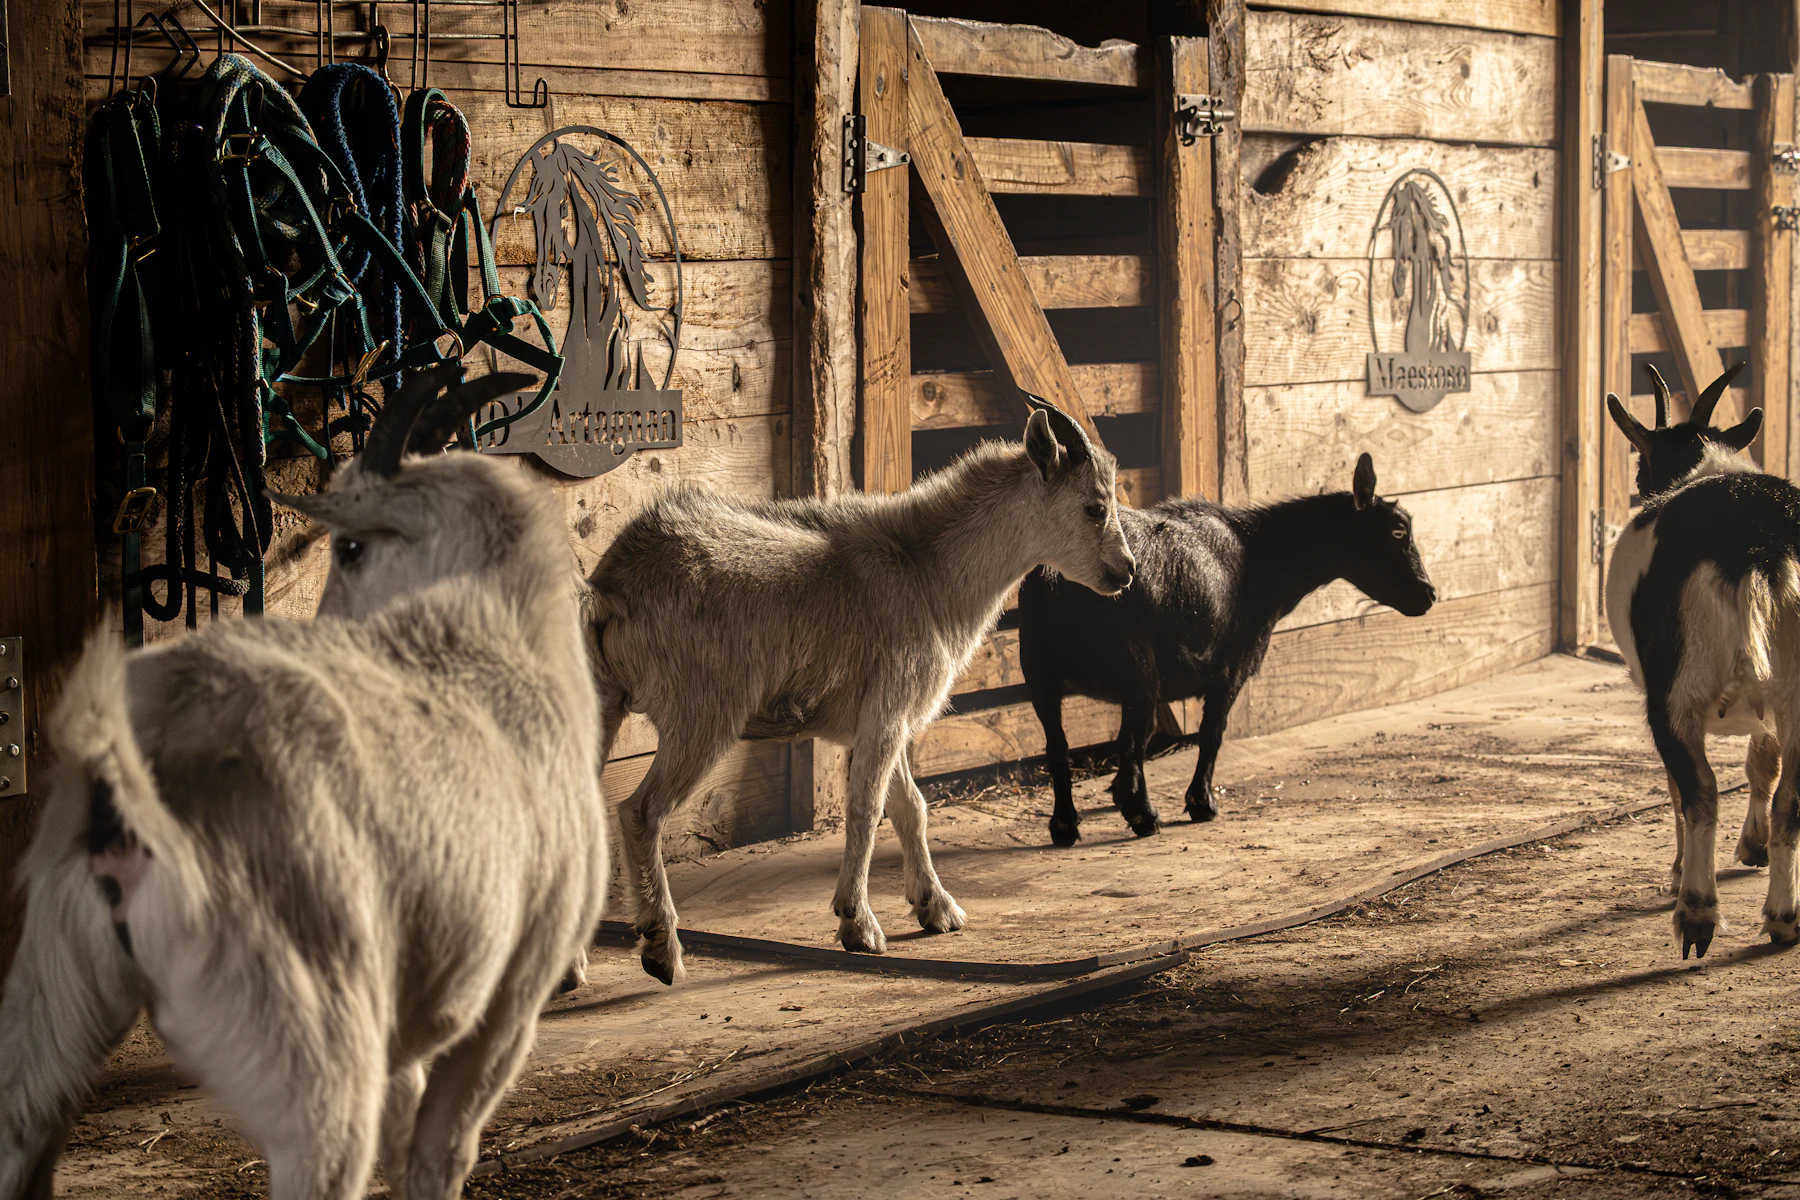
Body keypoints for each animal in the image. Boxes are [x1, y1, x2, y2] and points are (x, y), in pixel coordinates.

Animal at [0, 366, 610, 1200]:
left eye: (351, 550)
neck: (499, 637)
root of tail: (135, 771)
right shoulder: (509, 1001)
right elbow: (439, 1157)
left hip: (49, 1011)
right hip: (308, 1033)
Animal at [590, 397, 1136, 984]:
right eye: (1094, 507)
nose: (1126, 571)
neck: (928, 571)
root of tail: (616, 587)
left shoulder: (880, 719)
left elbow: (910, 806)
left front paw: (937, 908)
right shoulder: (890, 709)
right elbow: (867, 808)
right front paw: (859, 924)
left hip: (600, 702)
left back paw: (574, 968)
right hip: (704, 712)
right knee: (640, 812)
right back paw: (661, 949)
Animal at [1018, 453, 1436, 845]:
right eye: (1398, 531)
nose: (1429, 594)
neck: (1260, 557)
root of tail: (1056, 578)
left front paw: (1122, 794)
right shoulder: (1232, 667)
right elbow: (1211, 733)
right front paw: (1201, 803)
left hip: (1039, 670)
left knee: (1058, 747)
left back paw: (1065, 826)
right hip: (1136, 666)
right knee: (1131, 740)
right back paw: (1144, 817)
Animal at [1603, 362, 1797, 957]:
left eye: (1640, 463)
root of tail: (1756, 547)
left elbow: (1676, 787)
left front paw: (1676, 871)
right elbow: (1764, 761)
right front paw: (1754, 846)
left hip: (1675, 687)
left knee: (1699, 791)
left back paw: (1696, 912)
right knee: (1790, 797)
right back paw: (1783, 918)